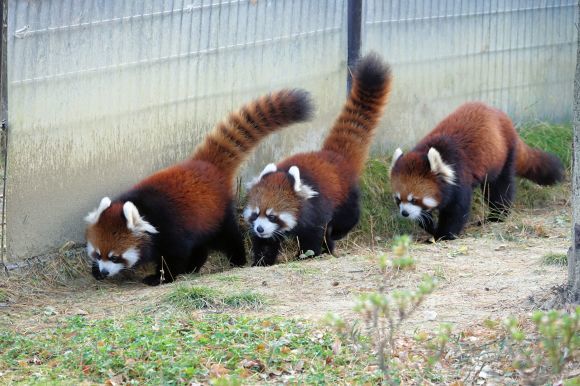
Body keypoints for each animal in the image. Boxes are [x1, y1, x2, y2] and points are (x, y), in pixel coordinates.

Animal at [82, 89, 312, 284]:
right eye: (98, 254)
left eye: (115, 257)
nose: (103, 271)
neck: (145, 211)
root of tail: (205, 164)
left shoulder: (170, 229)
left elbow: (174, 256)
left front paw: (161, 277)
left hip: (216, 213)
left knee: (227, 237)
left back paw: (236, 259)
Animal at [242, 52, 392, 266]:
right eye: (256, 214)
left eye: (272, 216)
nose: (260, 228)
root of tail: (332, 155)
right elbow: (266, 244)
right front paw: (261, 260)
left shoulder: (315, 210)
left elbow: (312, 235)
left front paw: (306, 254)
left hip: (346, 194)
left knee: (347, 218)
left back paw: (335, 235)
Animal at [390, 102, 560, 241]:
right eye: (398, 199)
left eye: (414, 199)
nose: (404, 213)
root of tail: (501, 115)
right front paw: (430, 227)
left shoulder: (460, 177)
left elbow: (457, 210)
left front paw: (444, 235)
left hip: (502, 156)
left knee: (500, 189)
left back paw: (497, 216)